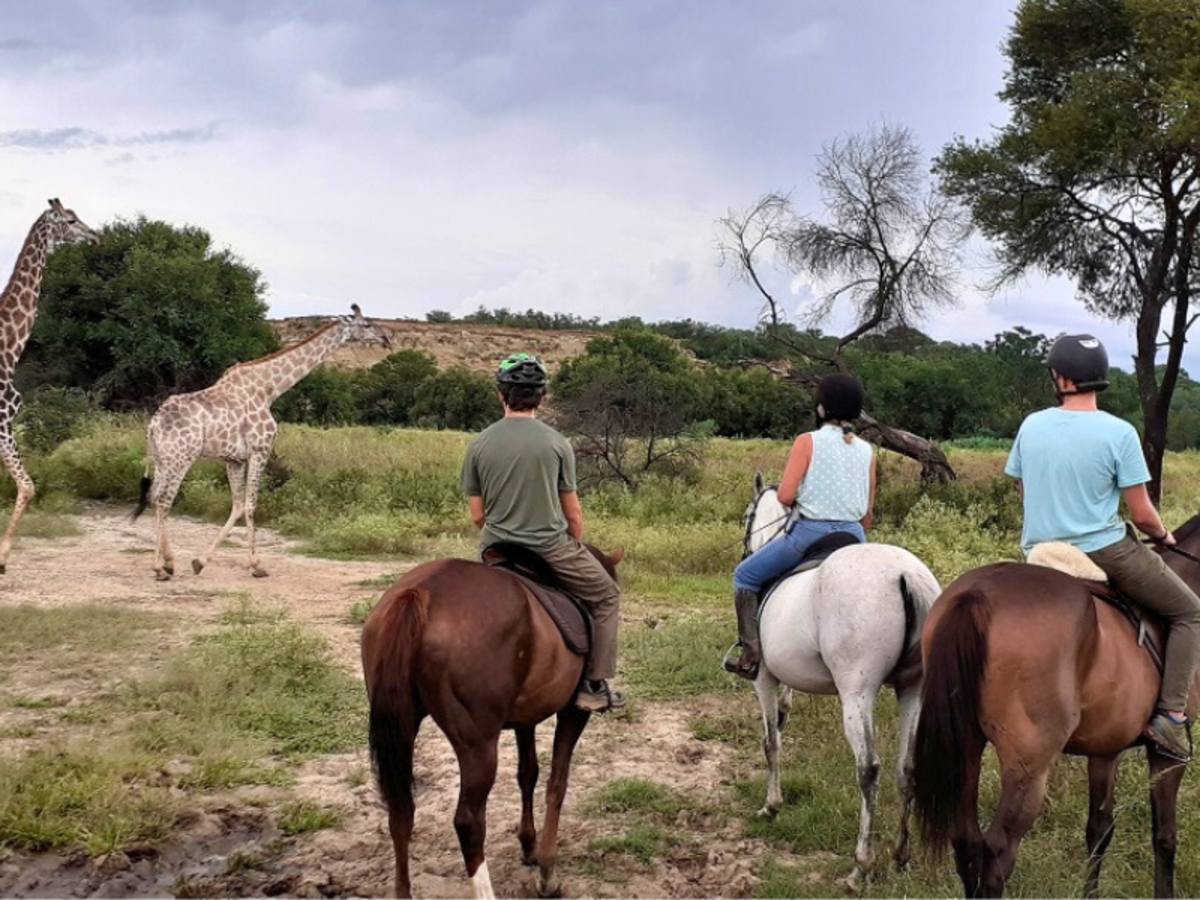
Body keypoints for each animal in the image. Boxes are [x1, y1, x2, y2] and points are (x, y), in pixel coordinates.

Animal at [0, 199, 100, 574]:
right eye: (70, 220)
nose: (95, 236)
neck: (10, 348)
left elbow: (25, 486)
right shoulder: (3, 420)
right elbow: (28, 487)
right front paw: (2, 557)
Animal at [134, 304, 390, 581]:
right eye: (366, 324)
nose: (386, 339)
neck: (269, 389)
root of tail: (153, 424)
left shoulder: (234, 458)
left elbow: (237, 504)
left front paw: (199, 562)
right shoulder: (260, 450)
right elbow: (251, 504)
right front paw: (257, 566)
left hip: (162, 460)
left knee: (154, 497)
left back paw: (165, 564)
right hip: (181, 458)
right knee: (164, 500)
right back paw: (162, 567)